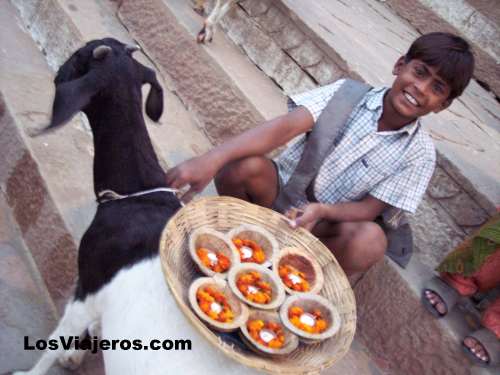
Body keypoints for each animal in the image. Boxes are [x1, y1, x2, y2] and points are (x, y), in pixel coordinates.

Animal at [15, 37, 258, 375]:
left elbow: (56, 341)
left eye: (79, 55)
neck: (139, 194)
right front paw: (78, 352)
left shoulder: (88, 288)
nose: (58, 73)